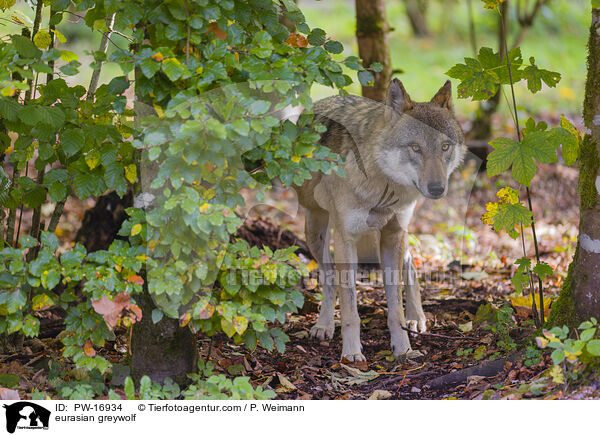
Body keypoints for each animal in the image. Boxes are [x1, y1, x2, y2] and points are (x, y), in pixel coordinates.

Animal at [292, 78, 466, 362]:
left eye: (445, 147)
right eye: (415, 147)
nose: (437, 189)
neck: (382, 184)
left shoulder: (393, 235)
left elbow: (395, 308)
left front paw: (404, 348)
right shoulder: (345, 240)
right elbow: (350, 308)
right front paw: (351, 353)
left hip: (388, 238)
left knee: (411, 264)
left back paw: (417, 317)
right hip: (316, 230)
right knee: (328, 277)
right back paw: (324, 325)